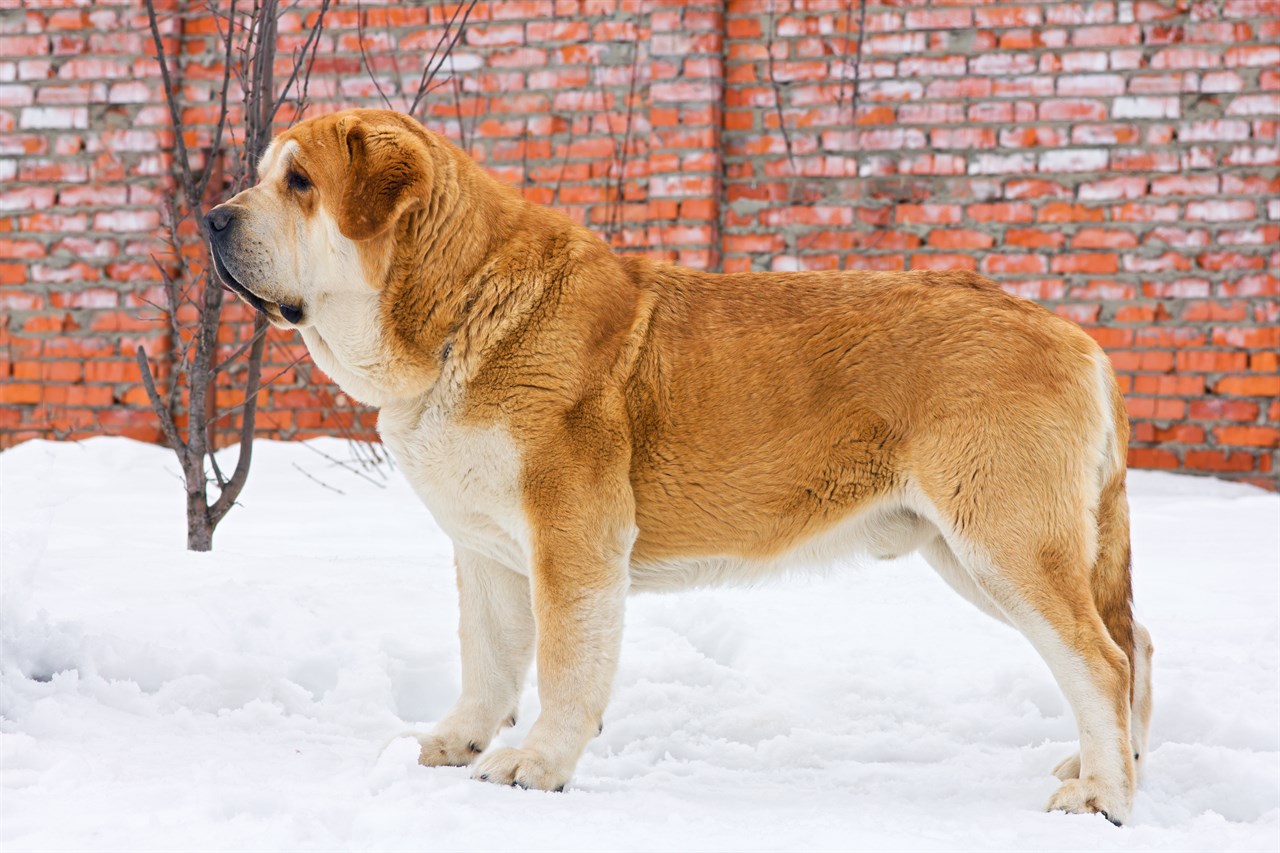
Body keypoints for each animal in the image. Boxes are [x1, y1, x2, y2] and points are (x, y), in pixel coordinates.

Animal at [207, 109, 1152, 819]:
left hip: (1005, 542)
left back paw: (1103, 797)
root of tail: (1072, 334)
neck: (457, 310)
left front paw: (537, 766)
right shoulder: (485, 550)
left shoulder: (573, 539)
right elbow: (490, 656)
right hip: (968, 550)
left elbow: (564, 663)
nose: (213, 217)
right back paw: (1115, 766)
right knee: (1129, 642)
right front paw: (459, 740)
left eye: (300, 183)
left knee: (1100, 660)